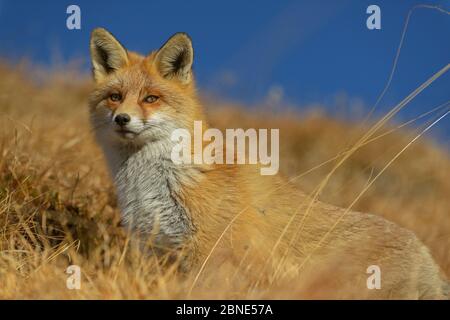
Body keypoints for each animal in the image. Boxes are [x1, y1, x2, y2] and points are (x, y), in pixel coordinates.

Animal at [87, 28, 446, 300]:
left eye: (151, 98)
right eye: (115, 97)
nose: (122, 119)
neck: (153, 184)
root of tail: (424, 251)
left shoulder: (211, 253)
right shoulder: (154, 251)